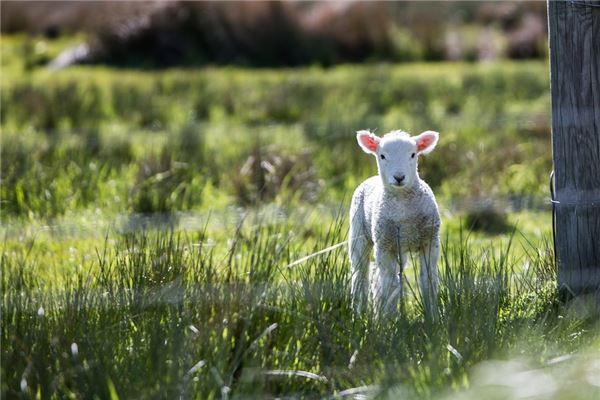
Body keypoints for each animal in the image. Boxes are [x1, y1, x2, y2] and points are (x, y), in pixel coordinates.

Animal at [346, 130, 440, 314]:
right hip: (359, 234)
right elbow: (390, 285)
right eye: (382, 156)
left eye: (413, 154)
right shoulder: (384, 246)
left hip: (400, 247)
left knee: (380, 277)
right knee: (361, 276)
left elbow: (428, 281)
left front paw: (433, 315)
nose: (399, 177)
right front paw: (388, 318)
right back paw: (359, 313)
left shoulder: (430, 241)